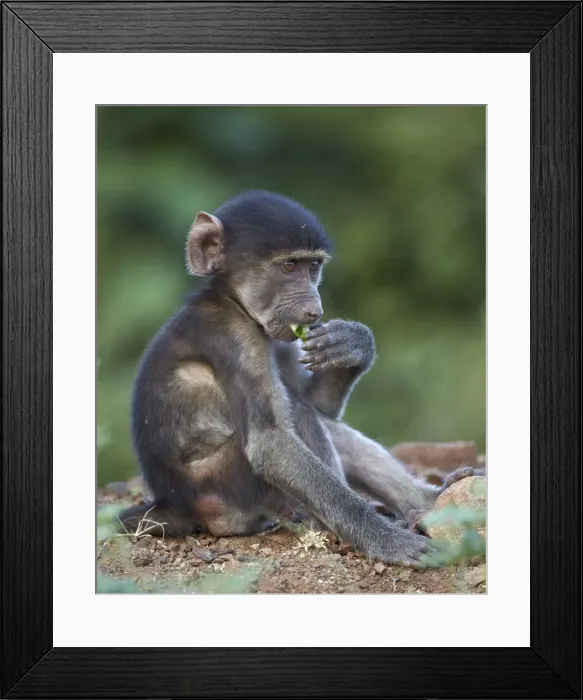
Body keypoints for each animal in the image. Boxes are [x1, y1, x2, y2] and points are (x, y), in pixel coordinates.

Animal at [119, 190, 482, 566]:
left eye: (313, 267)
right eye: (289, 266)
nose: (314, 310)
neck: (231, 301)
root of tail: (175, 505)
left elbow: (320, 403)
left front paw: (353, 343)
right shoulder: (235, 341)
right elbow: (270, 444)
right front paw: (389, 542)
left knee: (315, 414)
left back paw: (429, 503)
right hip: (226, 491)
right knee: (298, 414)